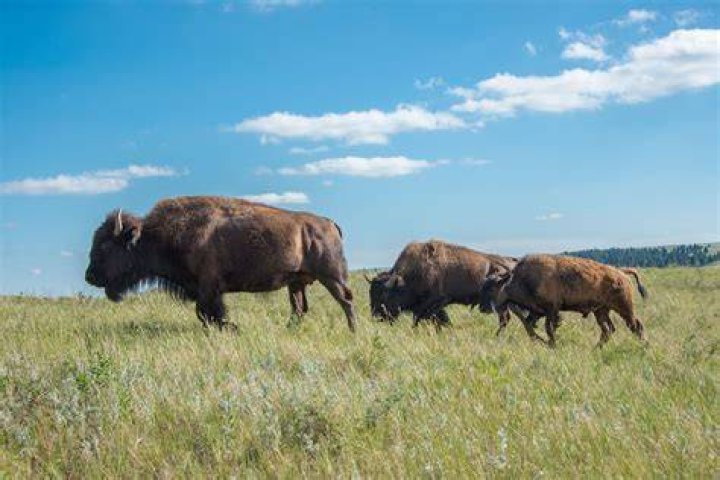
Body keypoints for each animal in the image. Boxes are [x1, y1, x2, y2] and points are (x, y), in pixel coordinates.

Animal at [85, 196, 356, 331]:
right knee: (299, 309)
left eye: (105, 246)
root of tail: (329, 223)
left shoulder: (208, 288)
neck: (158, 235)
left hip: (332, 277)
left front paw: (231, 327)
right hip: (296, 282)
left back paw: (353, 332)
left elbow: (208, 313)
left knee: (346, 301)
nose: (90, 276)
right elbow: (205, 315)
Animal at [480, 254, 648, 347]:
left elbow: (549, 328)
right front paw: (546, 342)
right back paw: (595, 349)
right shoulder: (538, 312)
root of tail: (621, 272)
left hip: (624, 309)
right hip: (601, 311)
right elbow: (530, 326)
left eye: (491, 288)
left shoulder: (552, 310)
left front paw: (551, 344)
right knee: (608, 329)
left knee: (635, 326)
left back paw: (645, 346)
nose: (482, 308)